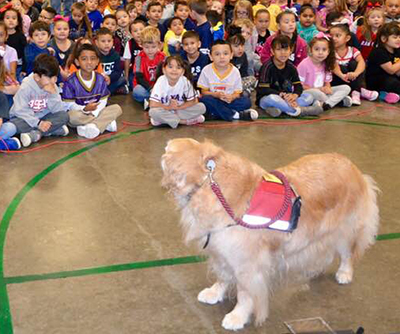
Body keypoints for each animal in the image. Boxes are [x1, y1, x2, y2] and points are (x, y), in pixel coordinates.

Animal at [161, 138, 380, 332]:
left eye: (168, 150)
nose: (162, 151)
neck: (212, 184)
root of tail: (352, 167)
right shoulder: (222, 250)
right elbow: (222, 275)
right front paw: (215, 292)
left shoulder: (249, 264)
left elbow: (245, 294)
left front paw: (237, 317)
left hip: (345, 230)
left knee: (347, 254)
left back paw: (345, 273)